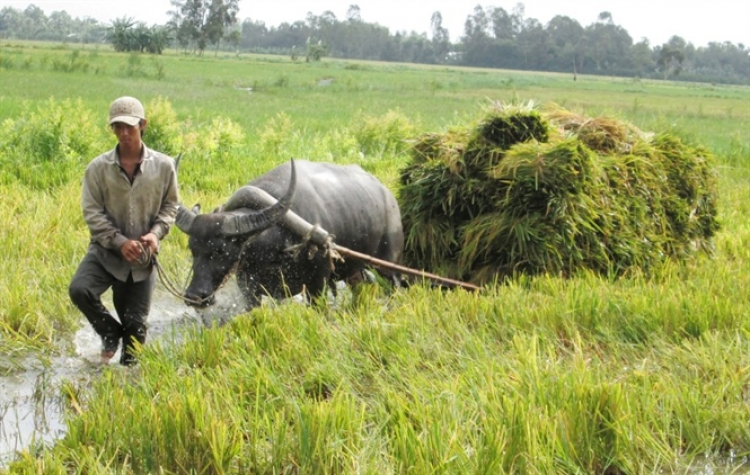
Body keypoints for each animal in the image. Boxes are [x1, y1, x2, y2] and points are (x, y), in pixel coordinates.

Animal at [176, 160, 406, 312]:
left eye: (221, 251)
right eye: (193, 249)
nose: (195, 296)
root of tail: (388, 197)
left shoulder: (317, 283)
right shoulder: (248, 287)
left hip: (388, 263)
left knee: (396, 286)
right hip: (353, 270)